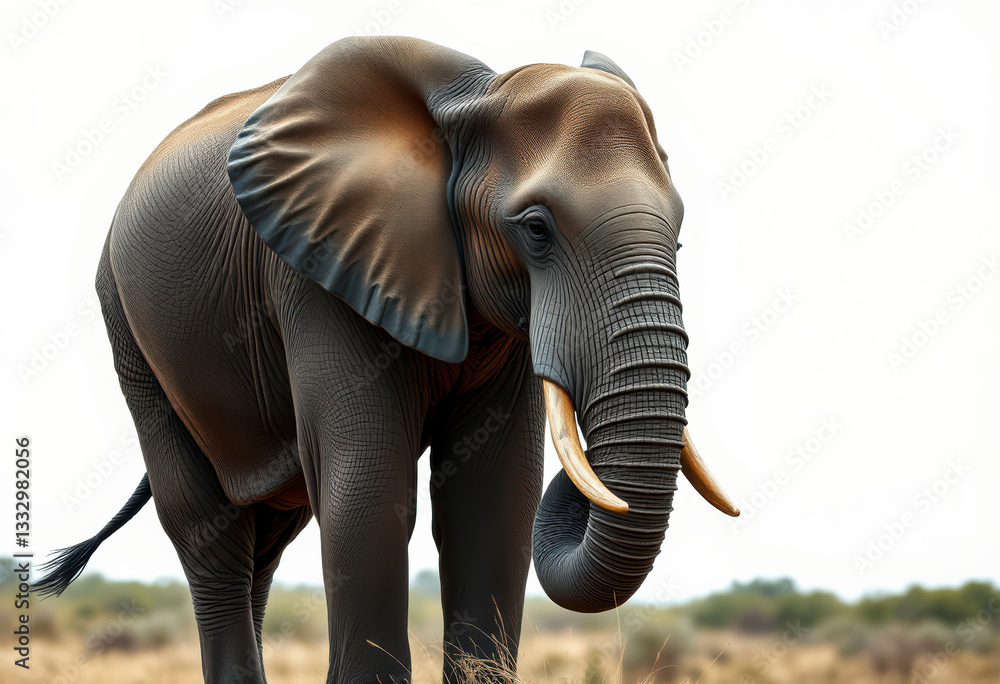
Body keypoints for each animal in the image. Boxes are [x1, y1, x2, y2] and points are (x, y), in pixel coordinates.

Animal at [37, 36, 739, 683]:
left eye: (679, 234)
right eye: (536, 229)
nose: (595, 483)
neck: (473, 100)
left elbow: (492, 496)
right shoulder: (316, 272)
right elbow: (367, 490)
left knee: (267, 542)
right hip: (128, 328)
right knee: (209, 534)